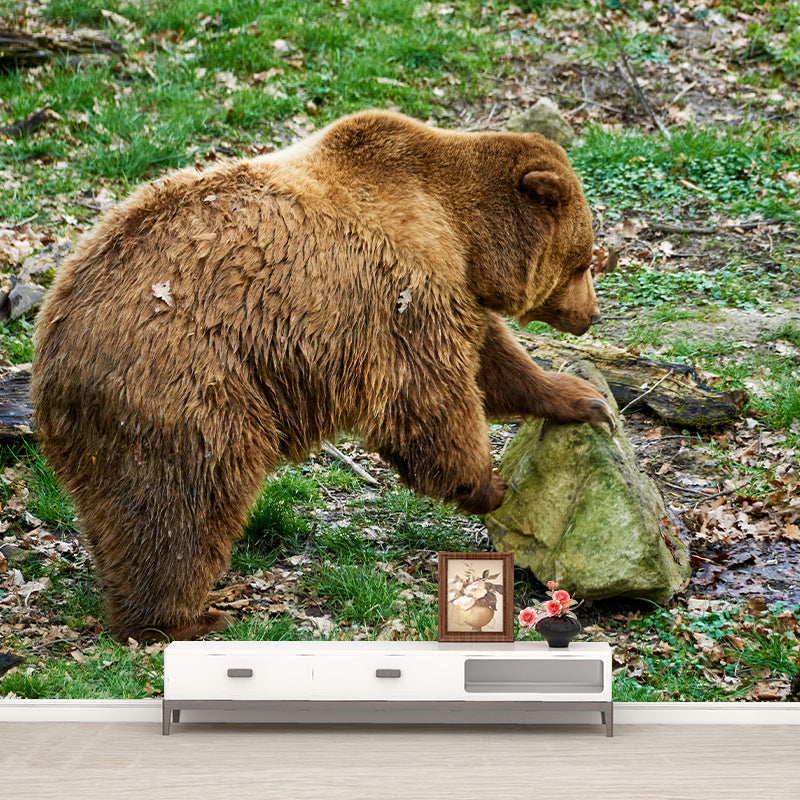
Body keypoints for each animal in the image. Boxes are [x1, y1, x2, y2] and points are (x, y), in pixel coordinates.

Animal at [32, 110, 614, 642]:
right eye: (585, 260)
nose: (590, 315)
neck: (460, 230)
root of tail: (51, 345)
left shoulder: (454, 290)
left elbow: (494, 361)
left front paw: (584, 399)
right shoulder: (402, 296)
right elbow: (434, 394)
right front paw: (488, 485)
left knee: (124, 511)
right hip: (185, 384)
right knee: (186, 501)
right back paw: (186, 617)